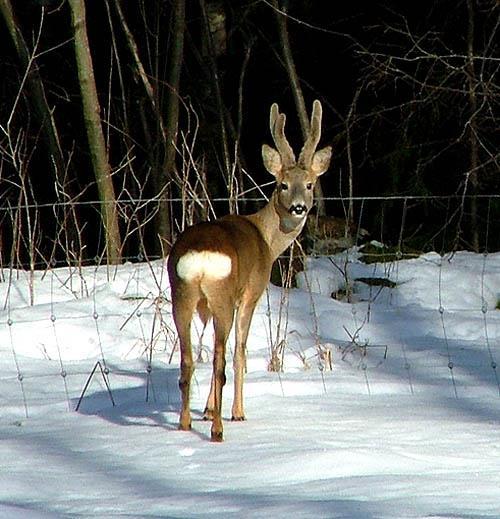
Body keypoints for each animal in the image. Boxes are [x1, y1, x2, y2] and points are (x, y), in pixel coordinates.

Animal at [167, 99, 332, 440]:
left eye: (309, 184)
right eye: (283, 185)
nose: (298, 208)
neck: (266, 237)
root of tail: (200, 258)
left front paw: (208, 409)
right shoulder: (251, 293)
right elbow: (240, 352)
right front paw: (235, 412)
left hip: (182, 295)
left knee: (188, 359)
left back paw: (185, 422)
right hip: (222, 295)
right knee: (221, 359)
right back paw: (218, 430)